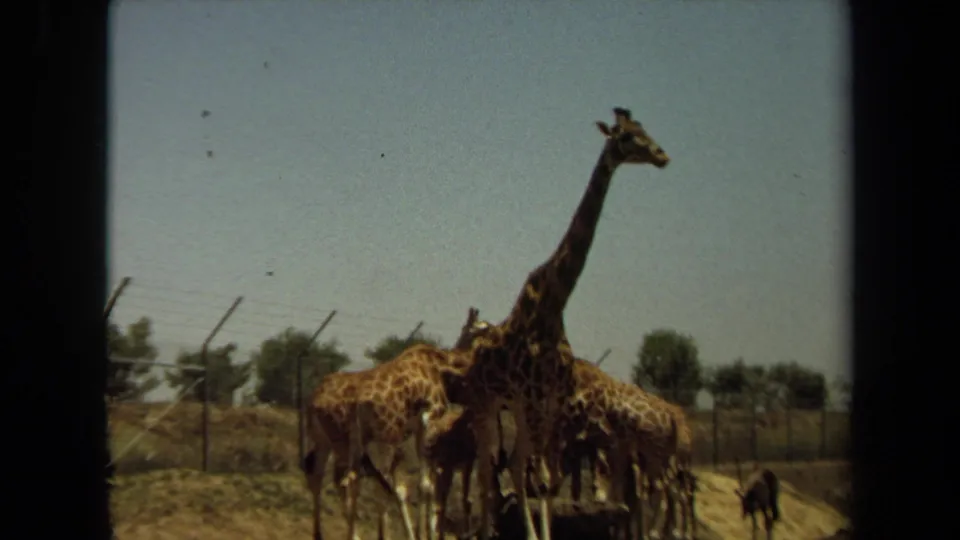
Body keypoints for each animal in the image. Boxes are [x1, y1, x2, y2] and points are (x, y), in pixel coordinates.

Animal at [304, 308, 488, 540]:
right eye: (484, 326)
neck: (442, 366)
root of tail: (313, 403)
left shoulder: (398, 435)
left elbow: (398, 487)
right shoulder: (427, 419)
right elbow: (424, 485)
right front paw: (423, 533)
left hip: (327, 440)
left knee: (320, 477)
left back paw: (320, 533)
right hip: (344, 441)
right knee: (346, 480)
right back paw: (353, 535)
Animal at [456, 107, 670, 540]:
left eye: (645, 130)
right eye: (626, 137)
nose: (661, 155)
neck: (554, 306)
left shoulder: (550, 401)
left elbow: (545, 479)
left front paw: (544, 532)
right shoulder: (535, 400)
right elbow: (534, 475)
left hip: (518, 407)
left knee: (513, 465)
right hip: (487, 403)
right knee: (487, 471)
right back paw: (487, 530)